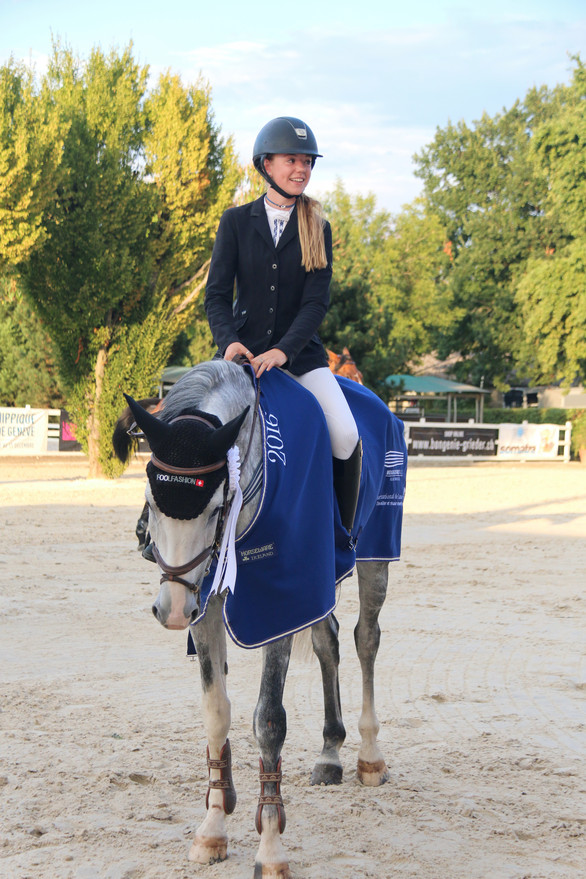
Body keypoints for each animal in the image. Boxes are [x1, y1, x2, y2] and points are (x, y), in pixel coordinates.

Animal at [113, 359, 406, 878]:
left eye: (215, 506)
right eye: (149, 494)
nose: (171, 610)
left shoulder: (279, 604)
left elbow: (269, 720)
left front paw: (270, 850)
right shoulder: (206, 604)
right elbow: (216, 712)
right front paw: (212, 830)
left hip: (374, 556)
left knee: (366, 639)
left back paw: (370, 758)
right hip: (317, 578)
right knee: (329, 641)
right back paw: (331, 753)